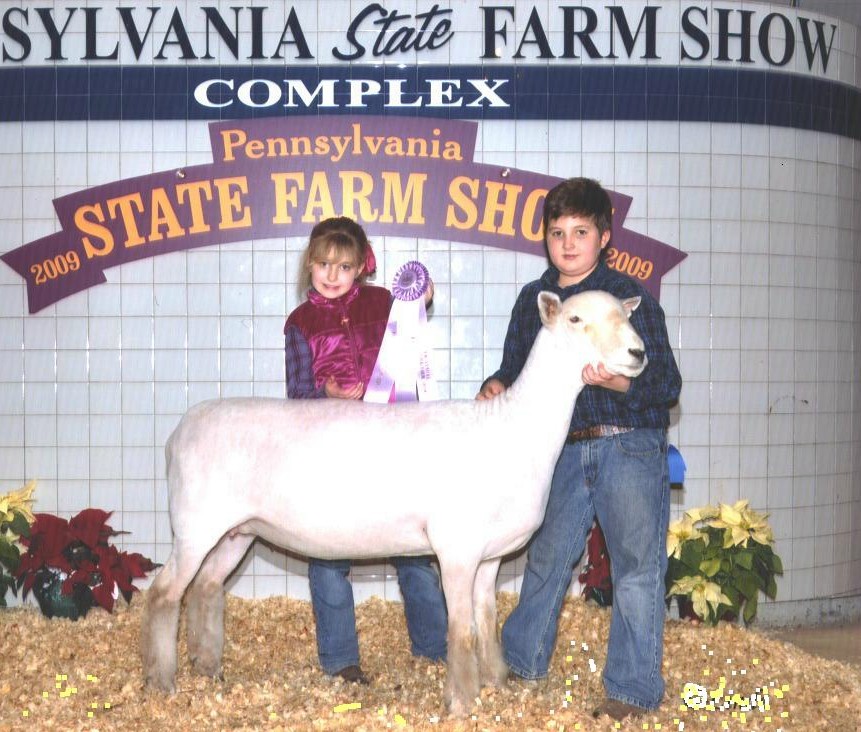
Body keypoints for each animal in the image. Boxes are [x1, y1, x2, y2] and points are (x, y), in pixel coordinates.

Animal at [139, 288, 644, 716]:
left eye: (626, 315)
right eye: (576, 319)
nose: (639, 353)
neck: (515, 428)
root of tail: (178, 434)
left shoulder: (488, 557)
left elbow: (486, 620)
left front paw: (494, 682)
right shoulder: (456, 548)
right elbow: (461, 629)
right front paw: (461, 702)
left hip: (236, 531)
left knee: (205, 588)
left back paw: (208, 667)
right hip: (196, 524)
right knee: (165, 593)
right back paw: (162, 680)